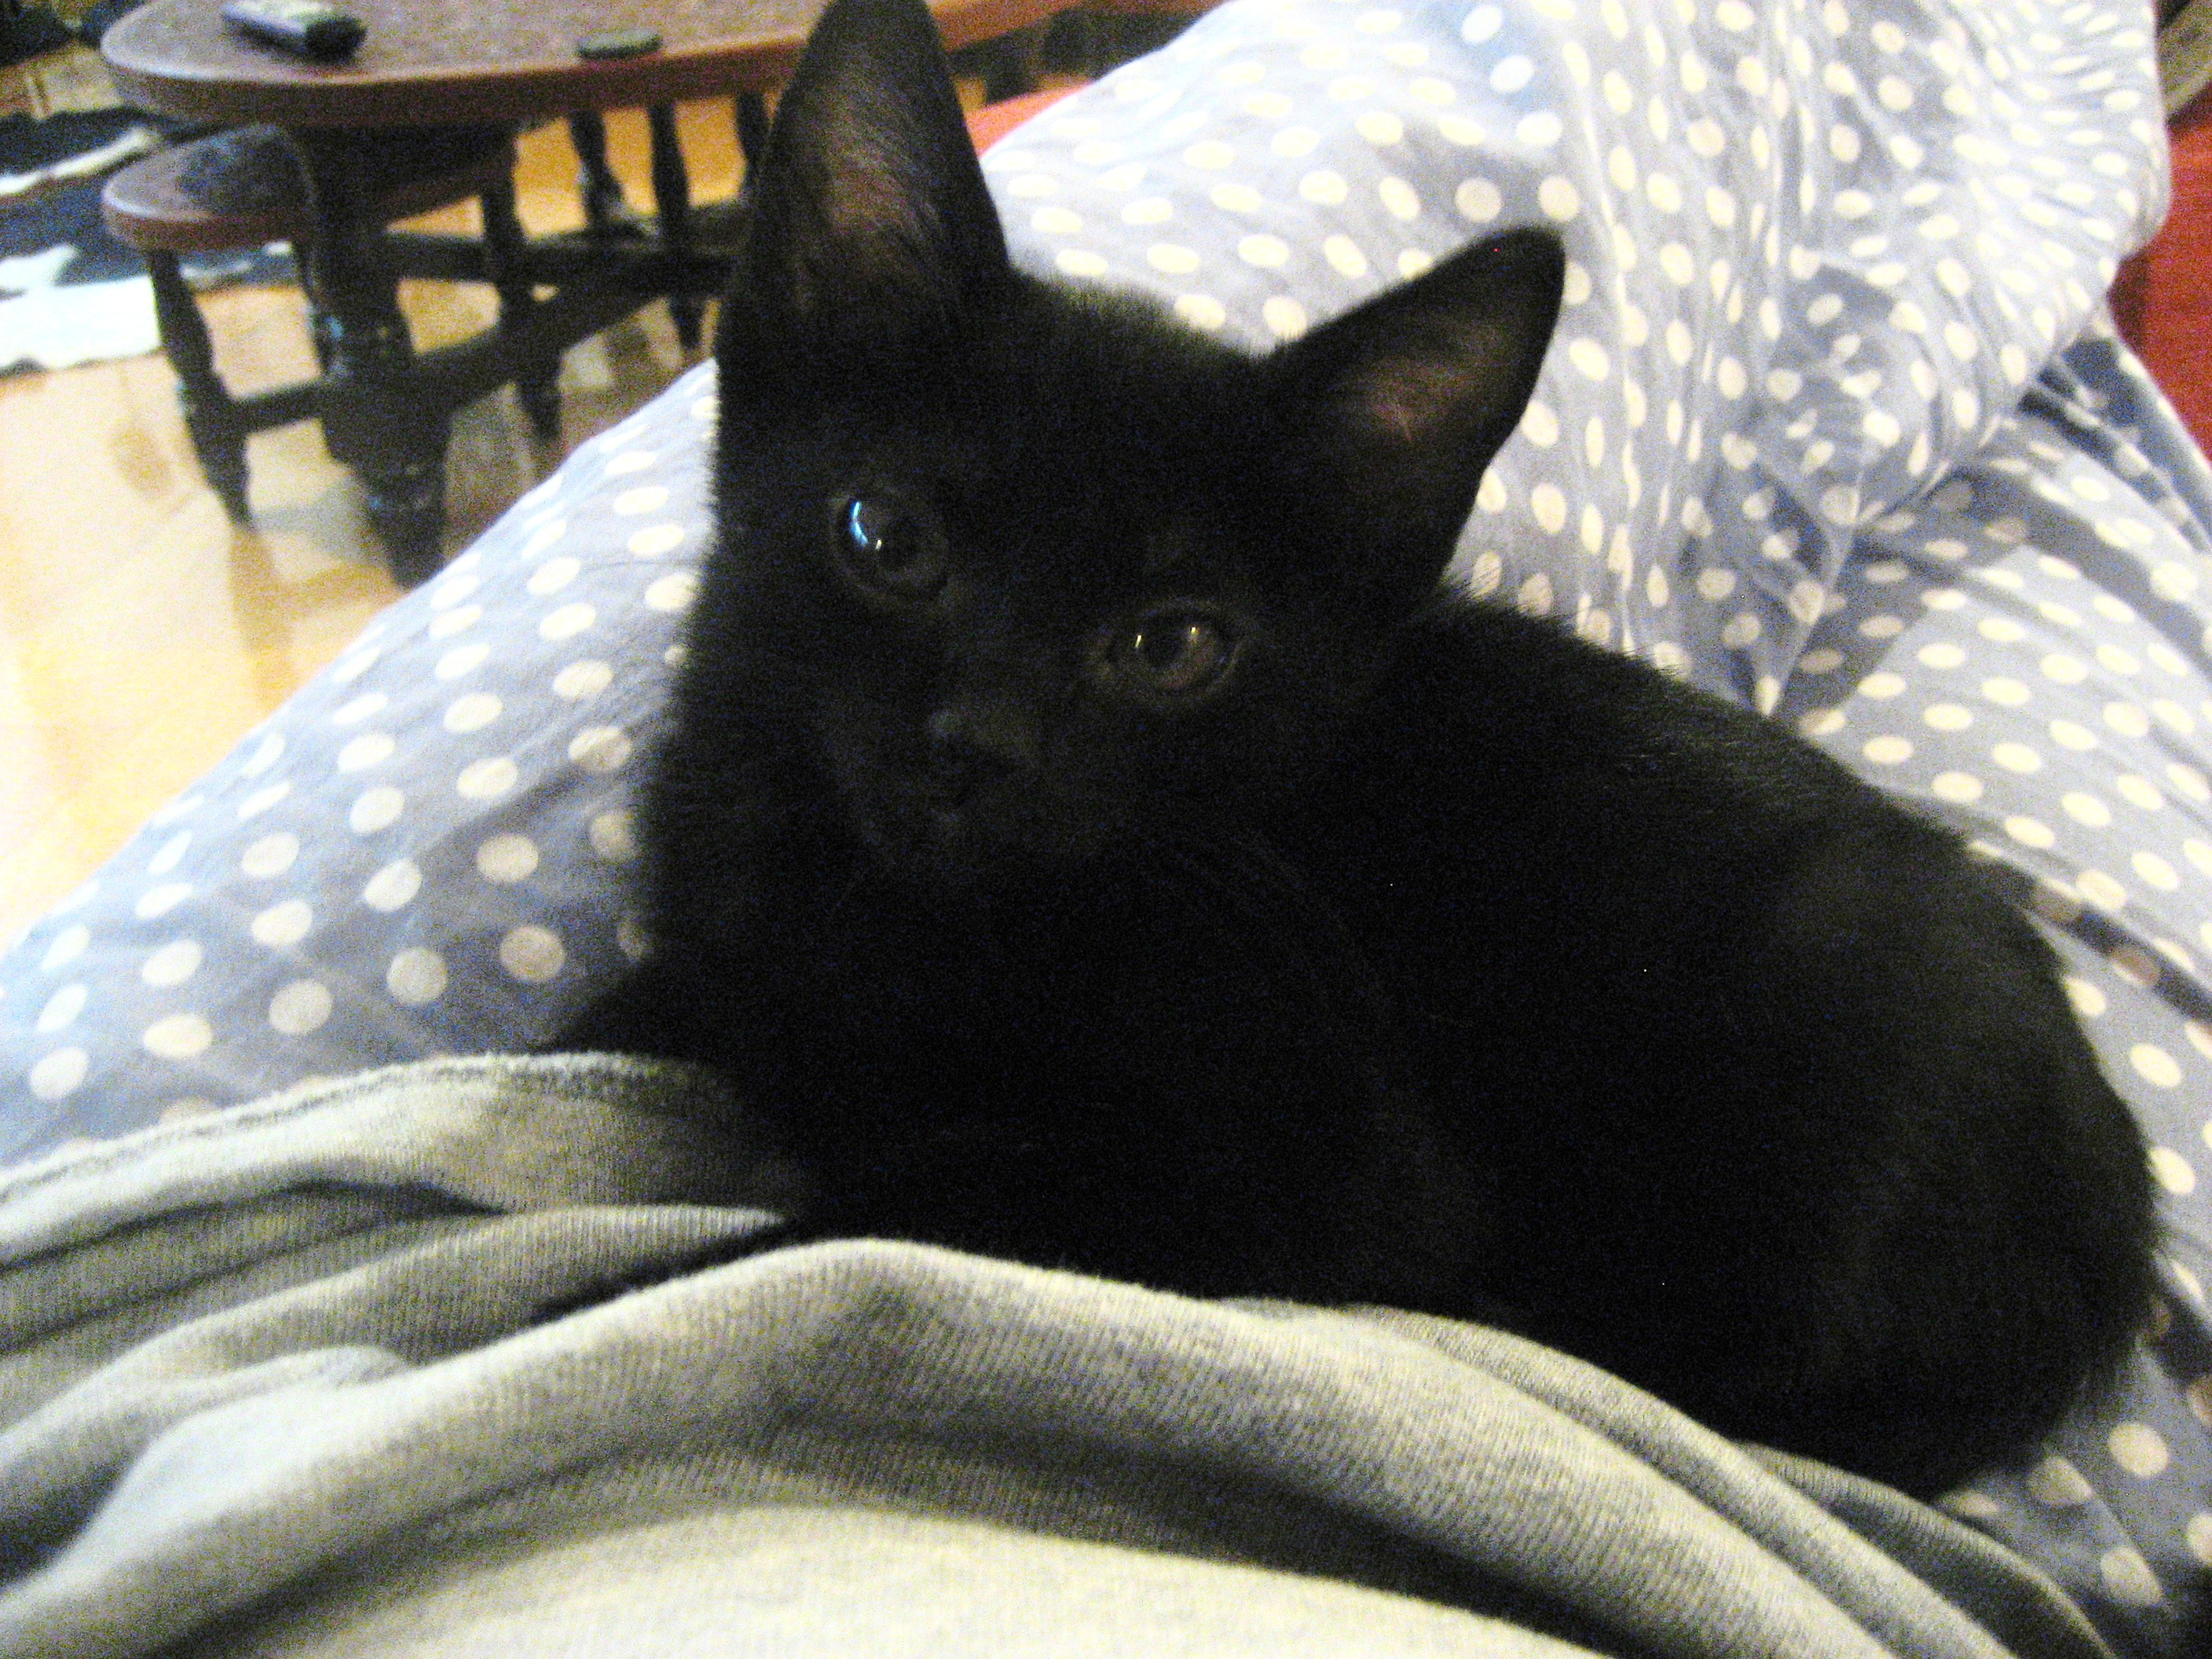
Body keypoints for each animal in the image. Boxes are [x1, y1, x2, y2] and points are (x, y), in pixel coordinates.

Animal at [563, 0, 2159, 1496]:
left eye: (1172, 647)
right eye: (885, 539)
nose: (979, 747)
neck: (901, 914)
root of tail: (2115, 1234)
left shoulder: (1310, 1178)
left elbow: (831, 1247)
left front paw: (585, 1306)